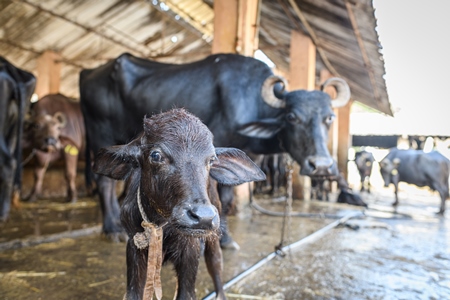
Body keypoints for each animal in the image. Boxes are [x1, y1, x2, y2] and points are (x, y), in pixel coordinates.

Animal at [79, 52, 350, 244]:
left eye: (329, 117)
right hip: (101, 133)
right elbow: (219, 199)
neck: (249, 100)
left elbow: (229, 199)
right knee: (104, 181)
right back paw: (112, 228)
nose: (321, 166)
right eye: (292, 117)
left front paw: (227, 239)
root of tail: (90, 72)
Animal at [93, 108, 266, 300]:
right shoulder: (134, 247)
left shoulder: (191, 250)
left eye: (211, 159)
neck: (162, 225)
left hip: (214, 233)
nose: (203, 217)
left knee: (215, 263)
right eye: (156, 155)